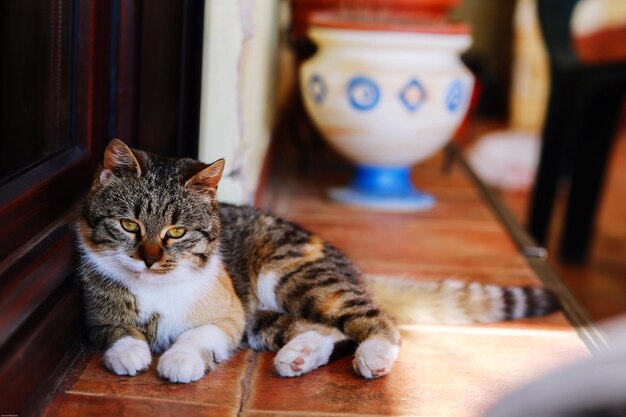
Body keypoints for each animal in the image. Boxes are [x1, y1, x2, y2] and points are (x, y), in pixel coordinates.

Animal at [75, 138, 560, 382]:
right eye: (129, 225)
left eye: (176, 232)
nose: (150, 260)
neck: (156, 288)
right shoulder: (95, 311)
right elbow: (118, 330)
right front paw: (130, 353)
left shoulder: (229, 314)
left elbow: (199, 335)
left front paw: (179, 360)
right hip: (269, 314)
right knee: (326, 331)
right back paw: (298, 357)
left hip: (294, 278)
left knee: (373, 320)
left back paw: (373, 356)